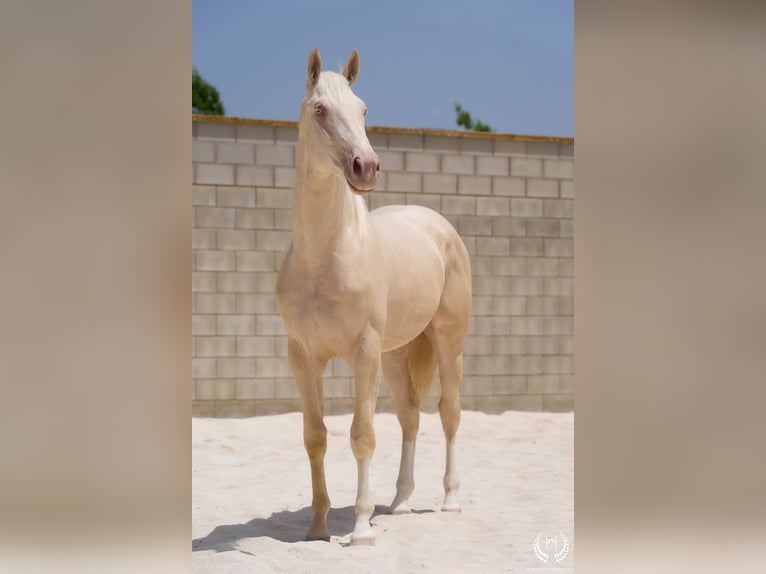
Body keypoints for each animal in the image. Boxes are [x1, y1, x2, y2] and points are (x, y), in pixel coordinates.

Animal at [276, 48, 472, 546]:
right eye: (319, 109)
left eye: (364, 109)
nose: (365, 167)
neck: (325, 259)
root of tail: (439, 226)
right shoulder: (303, 357)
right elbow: (315, 436)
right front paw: (318, 527)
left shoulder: (363, 353)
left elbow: (362, 434)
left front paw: (361, 528)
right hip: (397, 355)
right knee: (409, 415)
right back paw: (400, 502)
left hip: (447, 342)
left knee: (449, 412)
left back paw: (449, 499)